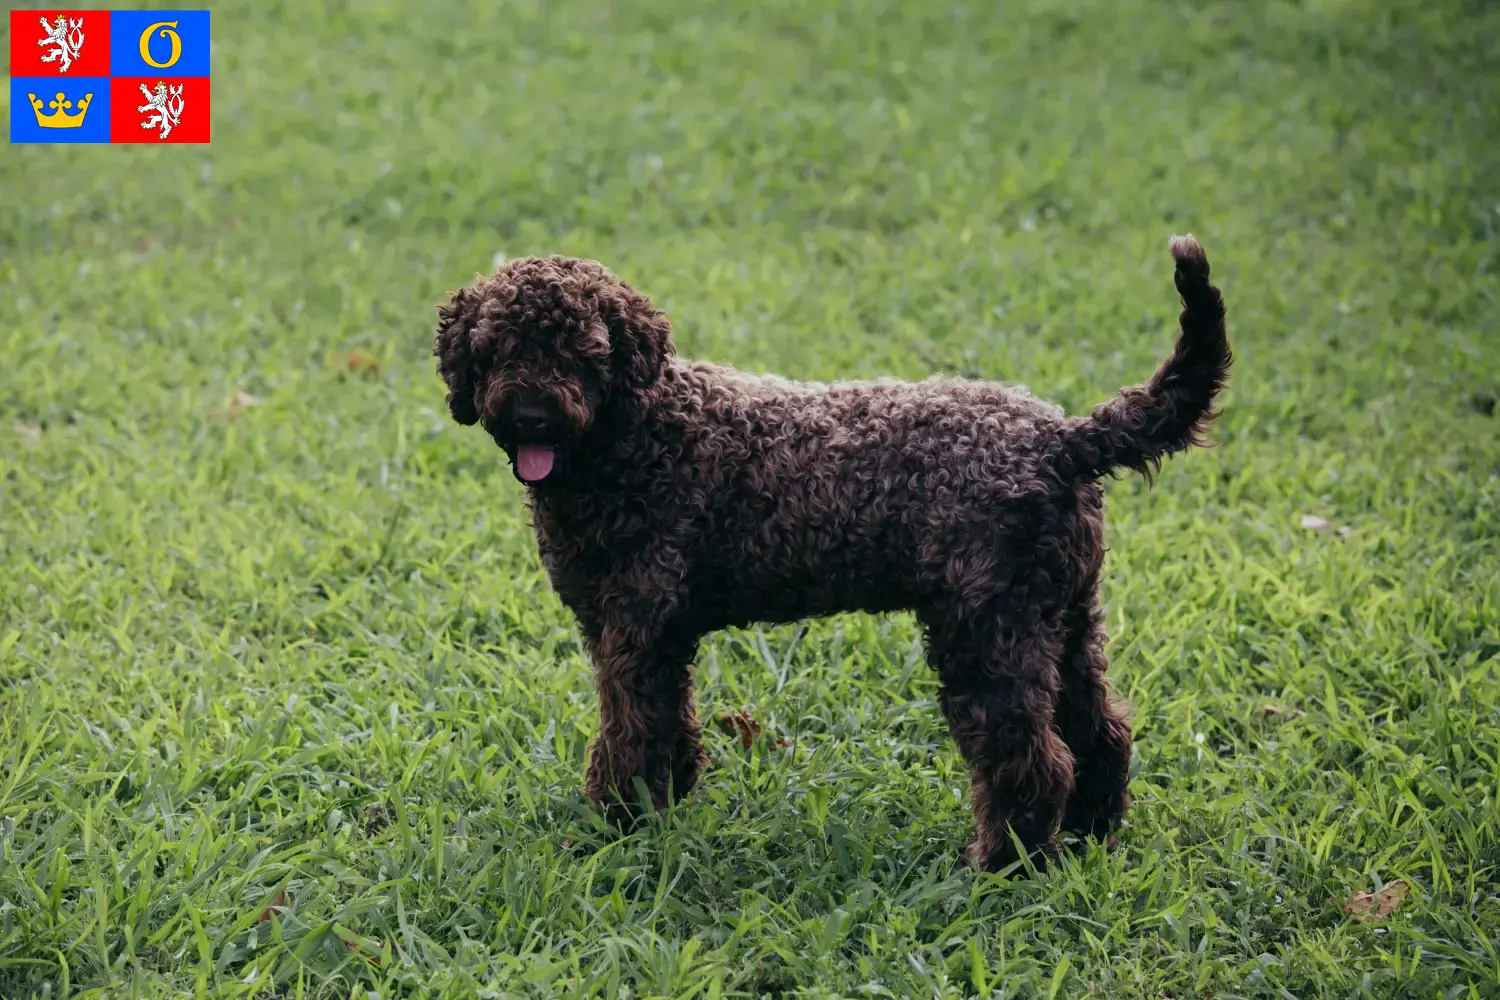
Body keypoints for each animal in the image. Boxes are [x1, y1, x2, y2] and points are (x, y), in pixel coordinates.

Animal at [435, 235, 1230, 869]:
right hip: (1064, 620)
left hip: (988, 632)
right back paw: (1092, 834)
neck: (638, 431)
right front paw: (666, 805)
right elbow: (666, 724)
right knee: (1102, 733)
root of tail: (1065, 440)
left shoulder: (635, 630)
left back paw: (1004, 865)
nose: (531, 415)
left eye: (580, 352)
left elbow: (629, 733)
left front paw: (616, 824)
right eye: (496, 348)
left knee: (1031, 760)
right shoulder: (640, 635)